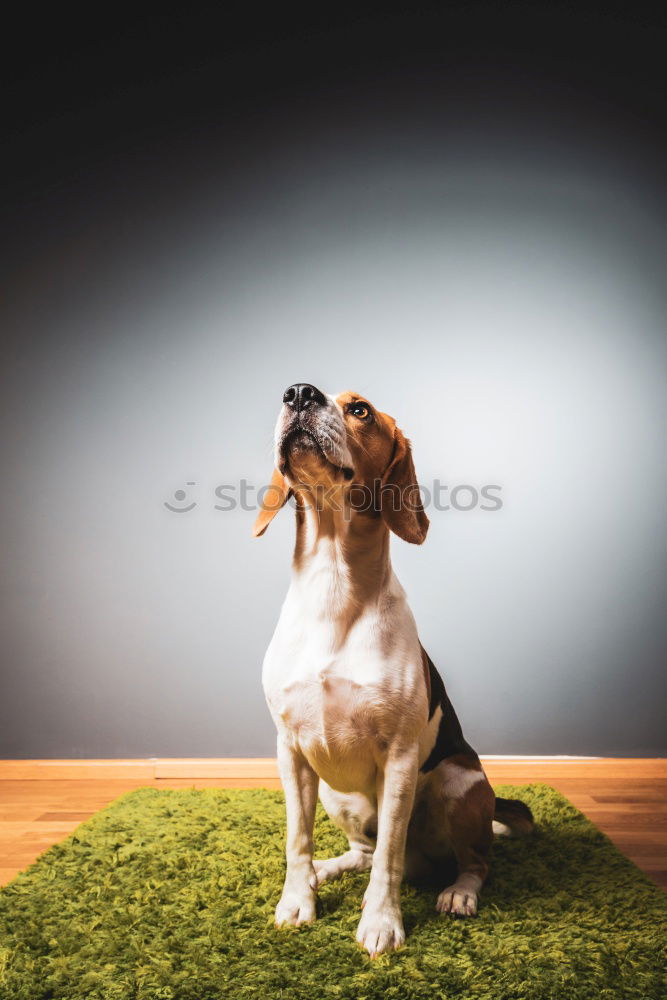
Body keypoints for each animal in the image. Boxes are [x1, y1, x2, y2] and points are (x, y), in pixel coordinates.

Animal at [253, 380, 536, 952]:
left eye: (360, 410)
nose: (300, 392)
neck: (332, 585)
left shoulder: (401, 758)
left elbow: (390, 854)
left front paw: (382, 922)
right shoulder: (290, 751)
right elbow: (297, 839)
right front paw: (298, 900)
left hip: (459, 782)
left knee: (471, 860)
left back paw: (458, 893)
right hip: (335, 793)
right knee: (360, 852)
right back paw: (326, 870)